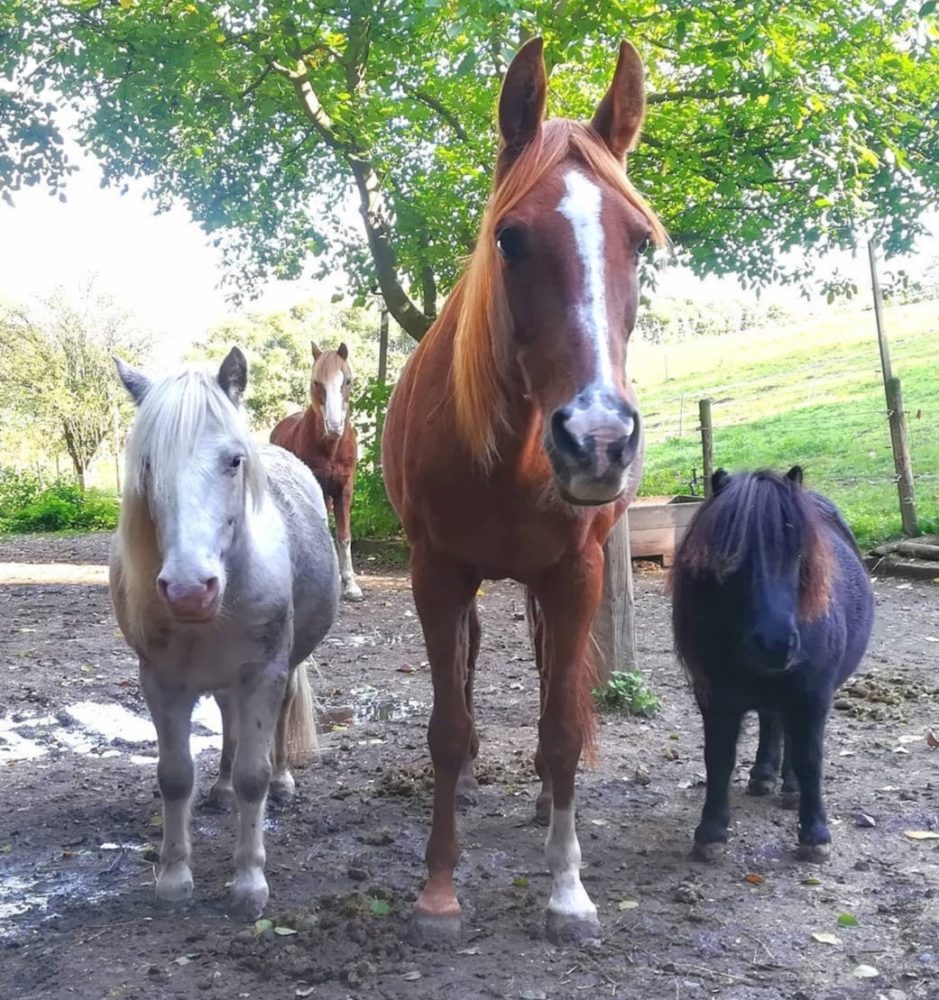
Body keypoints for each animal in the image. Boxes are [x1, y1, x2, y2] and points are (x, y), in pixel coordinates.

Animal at [111, 348, 338, 916]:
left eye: (234, 461)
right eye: (148, 464)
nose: (190, 590)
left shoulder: (263, 672)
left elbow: (254, 776)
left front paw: (249, 883)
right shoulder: (162, 682)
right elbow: (174, 777)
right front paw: (174, 876)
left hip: (282, 667)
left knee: (275, 724)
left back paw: (281, 781)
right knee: (228, 721)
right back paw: (220, 788)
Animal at [272, 340, 364, 596]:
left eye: (347, 380)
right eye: (316, 382)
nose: (334, 426)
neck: (331, 448)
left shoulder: (344, 490)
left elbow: (344, 536)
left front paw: (351, 585)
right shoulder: (318, 488)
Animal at [384, 39, 668, 944]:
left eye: (639, 242)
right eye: (508, 238)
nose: (598, 441)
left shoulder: (574, 573)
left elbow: (564, 724)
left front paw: (566, 888)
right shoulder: (435, 572)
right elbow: (447, 726)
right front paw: (439, 890)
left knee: (551, 676)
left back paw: (546, 805)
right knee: (469, 662)